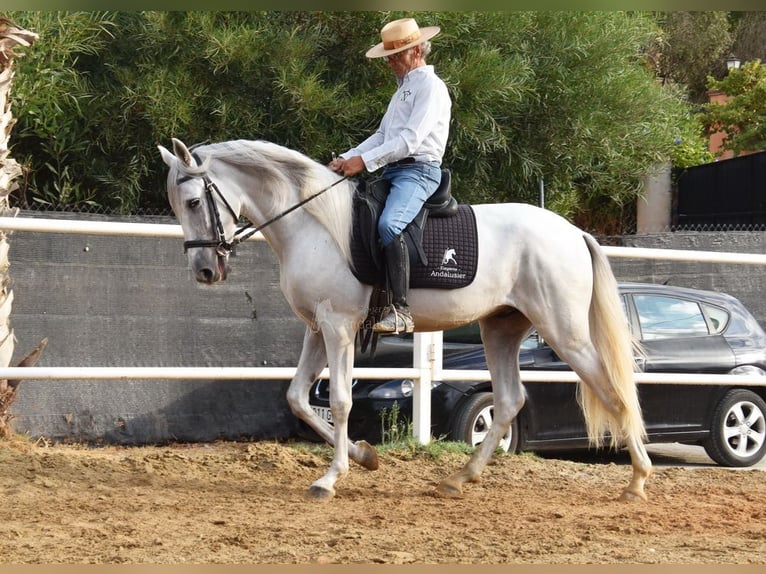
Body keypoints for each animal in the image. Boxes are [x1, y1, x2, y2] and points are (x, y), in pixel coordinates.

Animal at [158, 137, 652, 502]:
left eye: (193, 201)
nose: (204, 271)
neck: (312, 224)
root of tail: (572, 231)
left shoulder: (339, 327)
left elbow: (340, 401)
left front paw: (330, 478)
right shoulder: (317, 327)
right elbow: (298, 397)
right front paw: (364, 456)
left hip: (565, 332)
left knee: (614, 390)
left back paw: (637, 481)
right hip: (501, 328)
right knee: (510, 401)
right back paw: (458, 479)